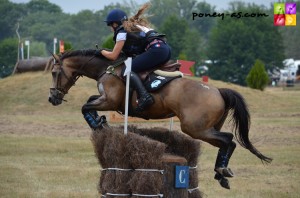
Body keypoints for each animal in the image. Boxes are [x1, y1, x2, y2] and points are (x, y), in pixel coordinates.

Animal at [48, 49, 272, 189]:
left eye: (54, 73)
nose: (53, 99)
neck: (108, 68)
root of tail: (218, 91)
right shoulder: (106, 100)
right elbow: (89, 101)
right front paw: (100, 122)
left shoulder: (110, 101)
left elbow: (85, 106)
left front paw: (98, 124)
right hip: (206, 128)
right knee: (226, 142)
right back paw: (221, 174)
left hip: (195, 128)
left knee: (228, 139)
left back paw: (221, 170)